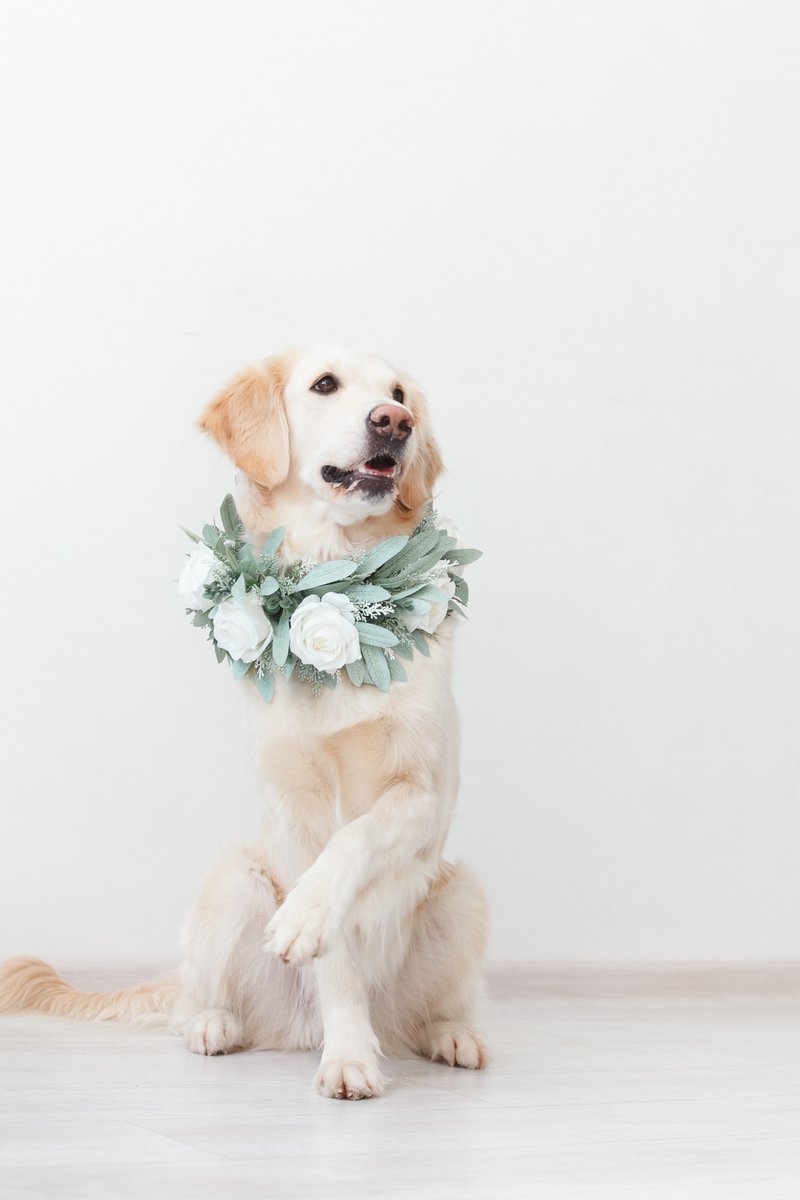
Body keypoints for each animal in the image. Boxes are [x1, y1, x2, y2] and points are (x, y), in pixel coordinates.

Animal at [0, 345, 489, 1099]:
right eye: (325, 385)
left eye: (400, 394)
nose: (394, 422)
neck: (336, 586)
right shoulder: (292, 807)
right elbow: (334, 955)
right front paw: (348, 1054)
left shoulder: (425, 793)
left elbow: (358, 836)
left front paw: (310, 918)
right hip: (232, 881)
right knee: (199, 998)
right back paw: (215, 1025)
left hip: (463, 894)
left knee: (437, 1006)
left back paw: (452, 1035)